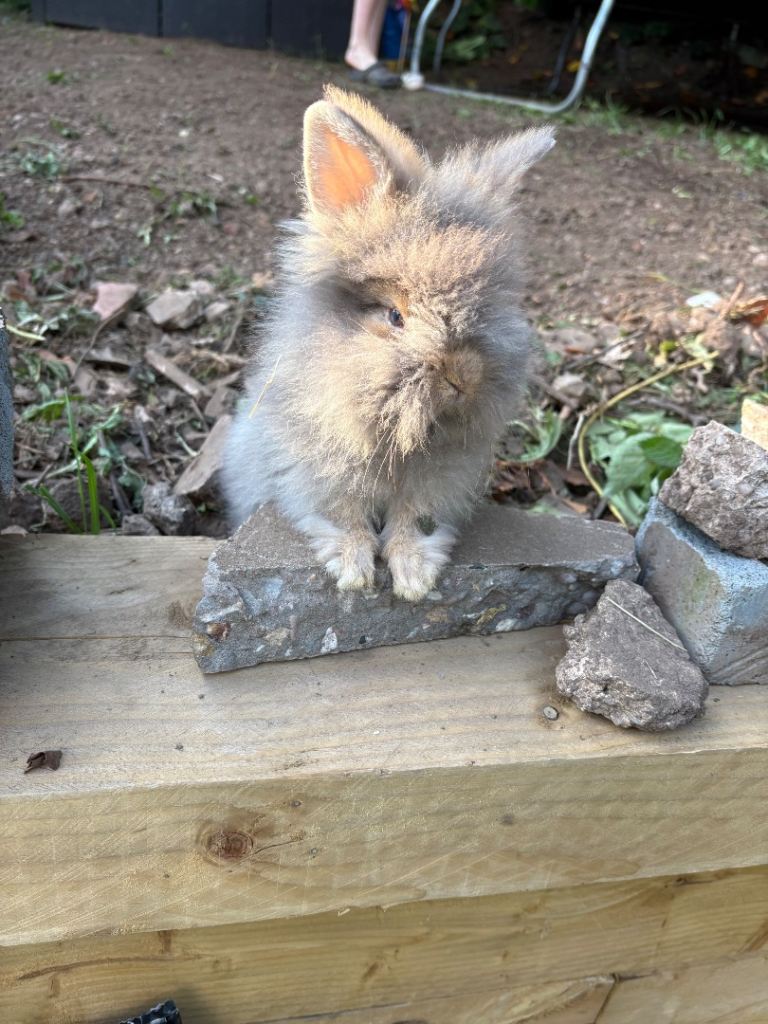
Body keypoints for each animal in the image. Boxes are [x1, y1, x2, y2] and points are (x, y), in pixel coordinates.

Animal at [223, 85, 554, 602]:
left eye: (491, 305)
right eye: (396, 317)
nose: (464, 378)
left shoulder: (438, 482)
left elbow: (414, 521)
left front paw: (414, 578)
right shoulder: (316, 475)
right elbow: (344, 519)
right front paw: (354, 571)